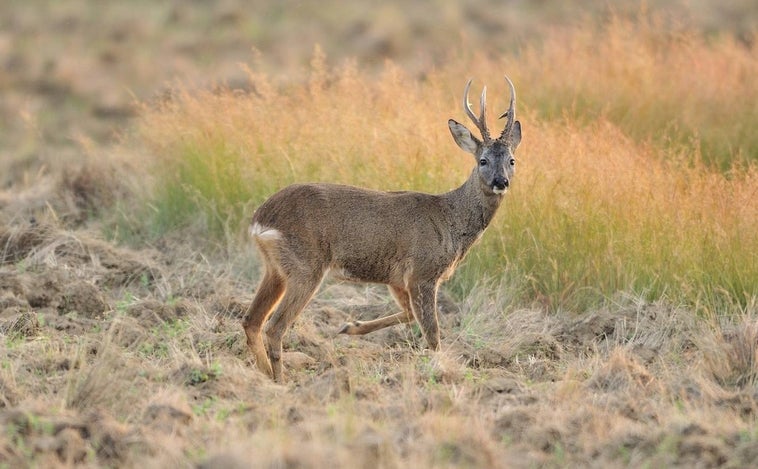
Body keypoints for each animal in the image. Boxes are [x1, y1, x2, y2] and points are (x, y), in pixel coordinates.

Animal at [243, 74, 524, 380]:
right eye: (483, 160)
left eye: (512, 160)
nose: (501, 181)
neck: (451, 221)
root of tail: (261, 220)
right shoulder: (423, 273)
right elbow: (433, 335)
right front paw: (442, 370)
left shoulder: (397, 278)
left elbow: (409, 314)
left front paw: (351, 327)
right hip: (306, 265)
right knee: (274, 326)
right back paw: (279, 381)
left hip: (276, 268)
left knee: (251, 320)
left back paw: (264, 375)